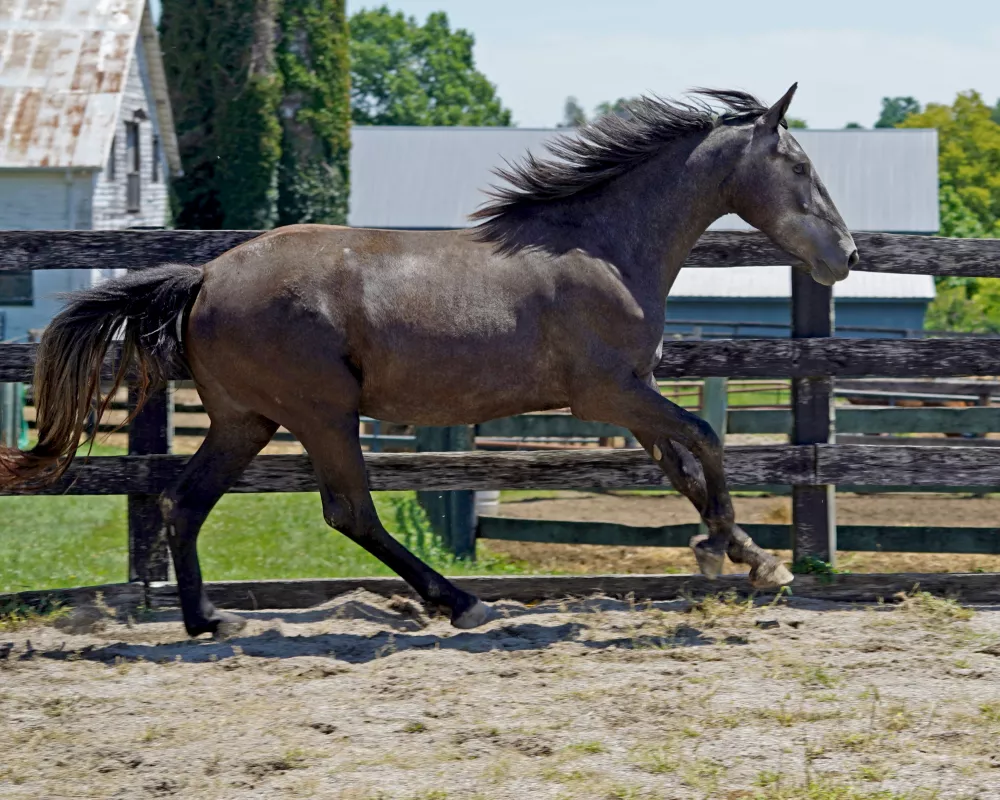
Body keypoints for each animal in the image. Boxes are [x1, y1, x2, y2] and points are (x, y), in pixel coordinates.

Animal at [1, 84, 860, 636]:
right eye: (801, 168)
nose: (845, 255)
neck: (601, 246)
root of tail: (205, 276)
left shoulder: (632, 394)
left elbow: (683, 465)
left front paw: (743, 558)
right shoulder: (607, 394)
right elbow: (707, 441)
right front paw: (745, 560)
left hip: (246, 419)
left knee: (187, 501)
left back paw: (208, 620)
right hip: (322, 413)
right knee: (349, 511)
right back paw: (459, 602)